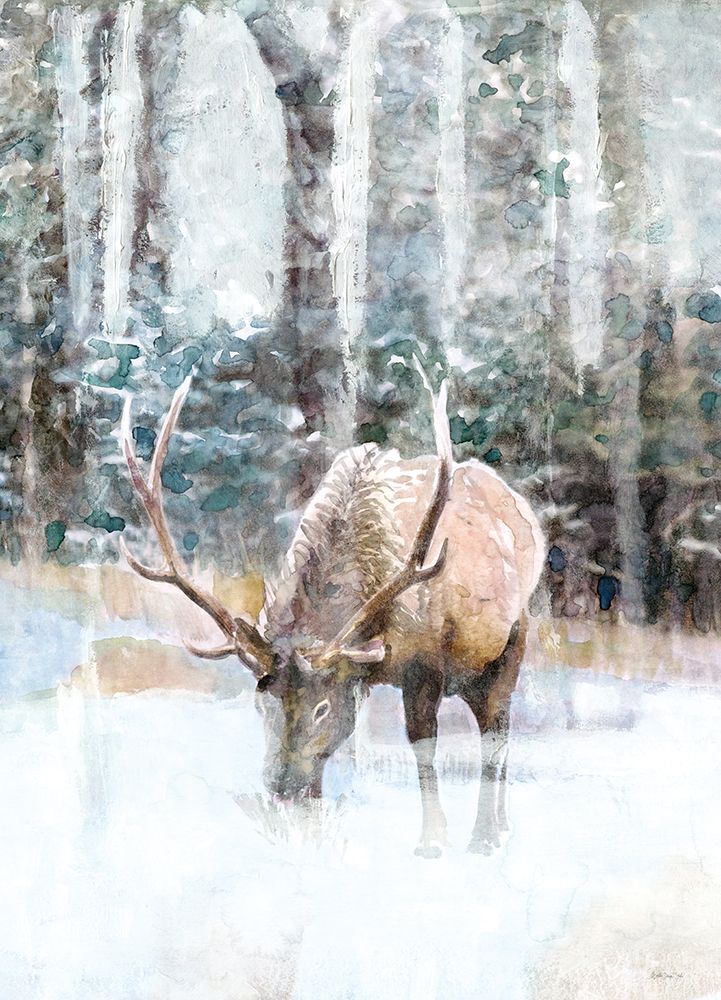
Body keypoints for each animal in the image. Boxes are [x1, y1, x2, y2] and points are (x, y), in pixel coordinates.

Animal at [120, 372, 545, 856]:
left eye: (321, 709)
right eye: (261, 703)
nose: (283, 787)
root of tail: (521, 507)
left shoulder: (425, 663)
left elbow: (422, 745)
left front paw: (433, 839)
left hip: (510, 641)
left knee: (497, 731)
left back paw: (486, 835)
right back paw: (502, 826)